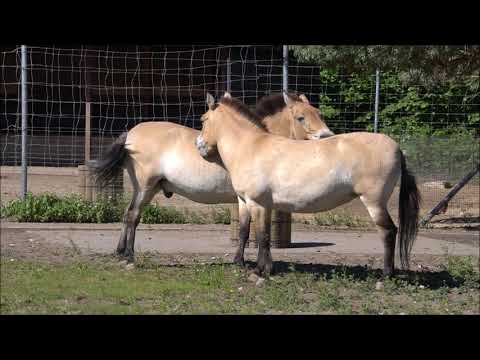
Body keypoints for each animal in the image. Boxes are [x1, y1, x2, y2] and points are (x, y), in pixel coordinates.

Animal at [90, 91, 332, 262]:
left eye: (318, 113)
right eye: (301, 118)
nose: (327, 136)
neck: (251, 141)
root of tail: (130, 133)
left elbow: (244, 231)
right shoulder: (248, 199)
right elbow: (247, 230)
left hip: (147, 189)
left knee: (127, 214)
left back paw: (120, 251)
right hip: (144, 188)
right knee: (133, 216)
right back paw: (130, 256)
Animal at [195, 92, 420, 276]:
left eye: (203, 120)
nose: (199, 146)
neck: (251, 146)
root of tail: (397, 148)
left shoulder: (257, 203)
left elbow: (262, 236)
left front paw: (260, 271)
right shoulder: (248, 202)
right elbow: (247, 232)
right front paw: (247, 264)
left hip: (374, 202)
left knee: (388, 232)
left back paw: (386, 275)